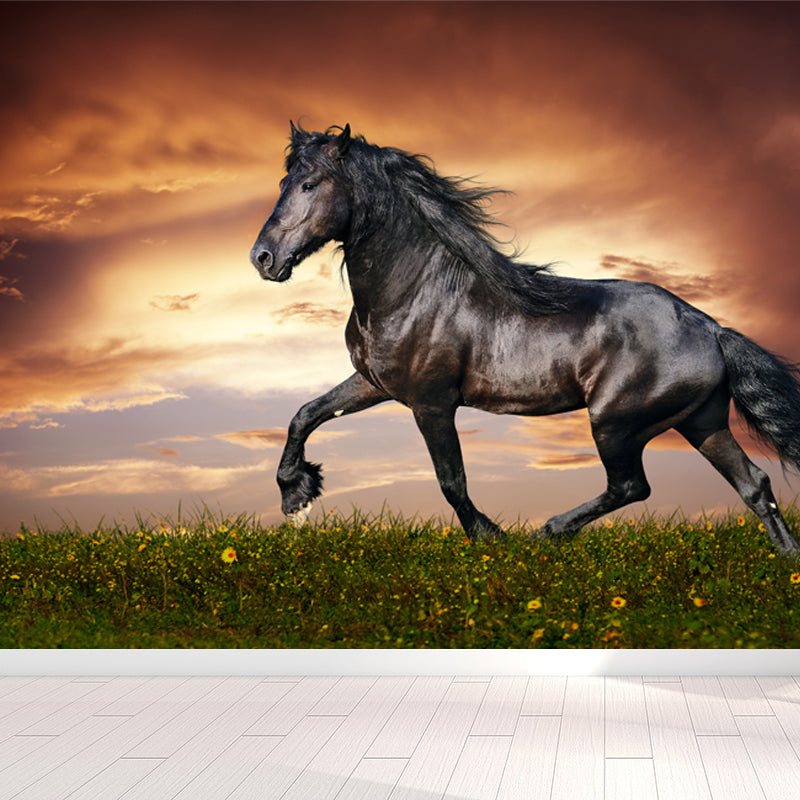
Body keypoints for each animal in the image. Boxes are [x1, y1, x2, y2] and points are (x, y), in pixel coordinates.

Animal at [250, 122, 800, 556]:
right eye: (283, 181)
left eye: (310, 183)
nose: (263, 258)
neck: (415, 289)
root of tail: (711, 328)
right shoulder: (373, 384)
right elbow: (305, 414)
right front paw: (296, 493)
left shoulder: (431, 402)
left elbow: (451, 481)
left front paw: (491, 537)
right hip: (700, 422)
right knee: (754, 485)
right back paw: (787, 562)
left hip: (615, 423)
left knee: (631, 486)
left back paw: (547, 532)